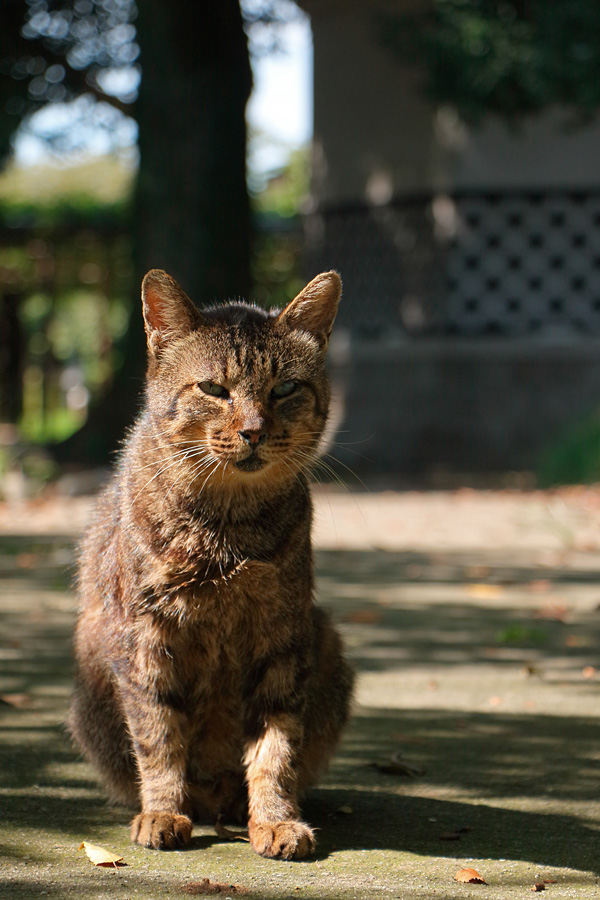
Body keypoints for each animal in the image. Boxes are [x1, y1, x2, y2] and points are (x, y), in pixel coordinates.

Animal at [68, 268, 354, 856]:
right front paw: (162, 811)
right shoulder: (144, 636)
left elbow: (276, 748)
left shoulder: (282, 635)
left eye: (285, 389)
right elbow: (158, 737)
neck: (228, 529)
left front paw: (275, 819)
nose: (254, 430)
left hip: (326, 640)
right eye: (214, 390)